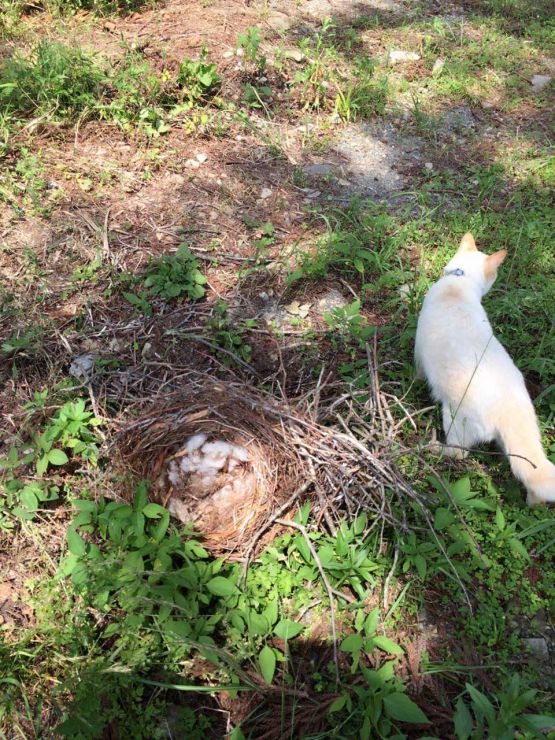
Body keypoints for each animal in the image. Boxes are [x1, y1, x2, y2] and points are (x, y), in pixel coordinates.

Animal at [416, 234, 555, 506]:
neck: (459, 279)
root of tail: (510, 406)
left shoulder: (418, 351)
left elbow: (417, 371)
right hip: (513, 444)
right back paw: (533, 506)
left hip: (453, 418)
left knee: (458, 454)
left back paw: (434, 448)